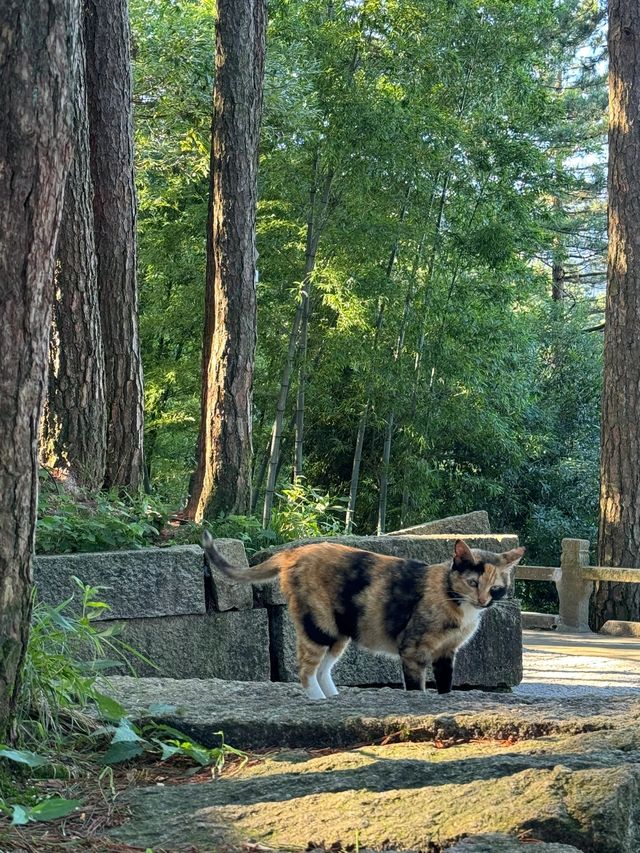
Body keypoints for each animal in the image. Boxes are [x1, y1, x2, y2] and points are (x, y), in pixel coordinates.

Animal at [202, 532, 524, 700]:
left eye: (496, 588)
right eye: (472, 582)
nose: (483, 601)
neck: (454, 600)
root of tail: (293, 553)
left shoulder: (447, 652)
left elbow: (445, 683)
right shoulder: (413, 649)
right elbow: (417, 686)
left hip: (339, 632)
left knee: (323, 668)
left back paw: (333, 697)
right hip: (318, 625)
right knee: (306, 669)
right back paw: (318, 700)